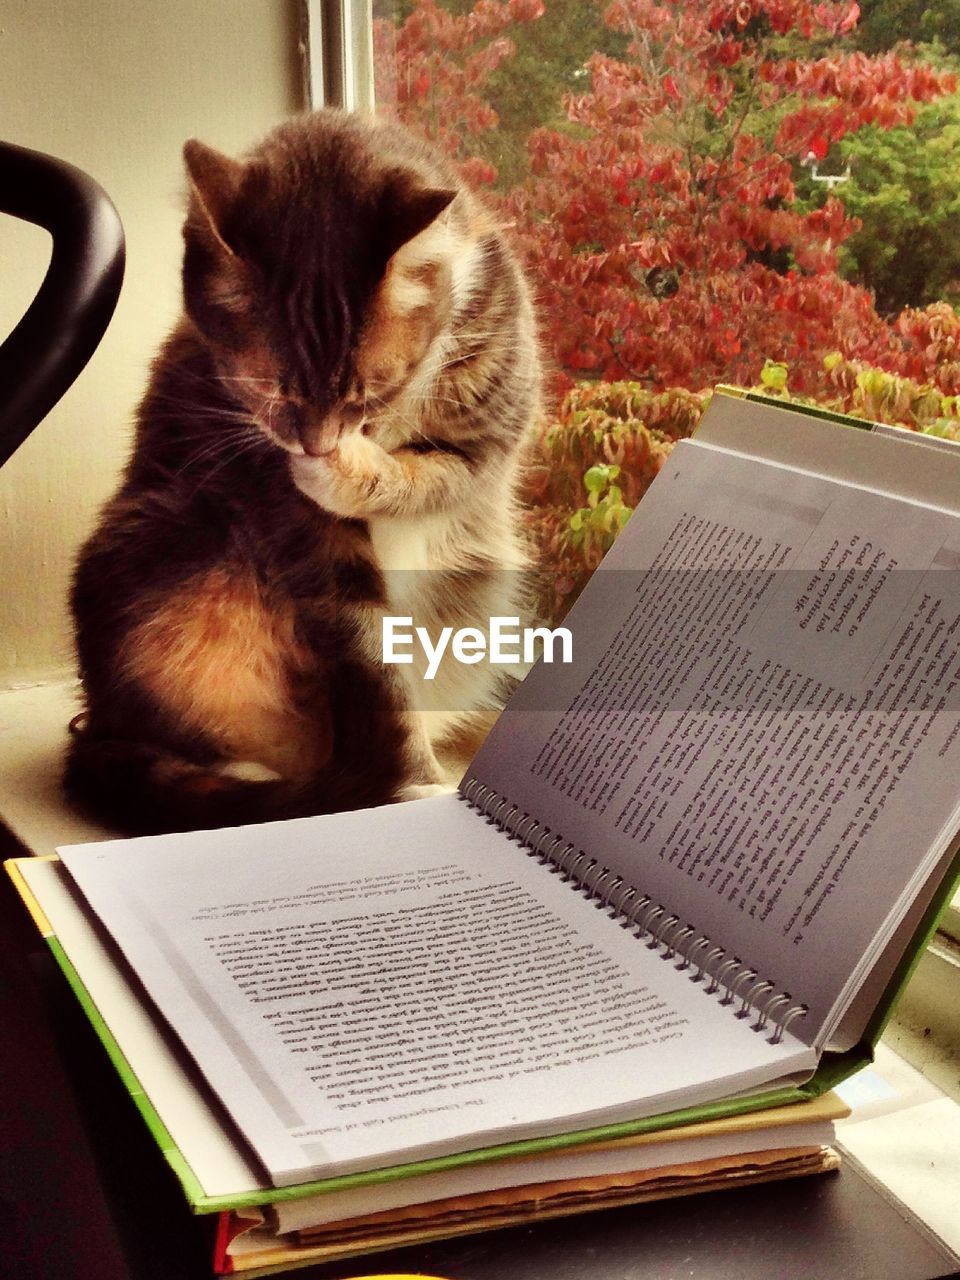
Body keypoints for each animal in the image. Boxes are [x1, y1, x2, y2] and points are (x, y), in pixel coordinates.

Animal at [67, 112, 542, 839]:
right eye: (267, 390)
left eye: (370, 392)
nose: (315, 448)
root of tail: (93, 726)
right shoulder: (302, 534)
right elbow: (372, 663)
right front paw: (412, 784)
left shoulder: (486, 440)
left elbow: (437, 476)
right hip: (161, 549)